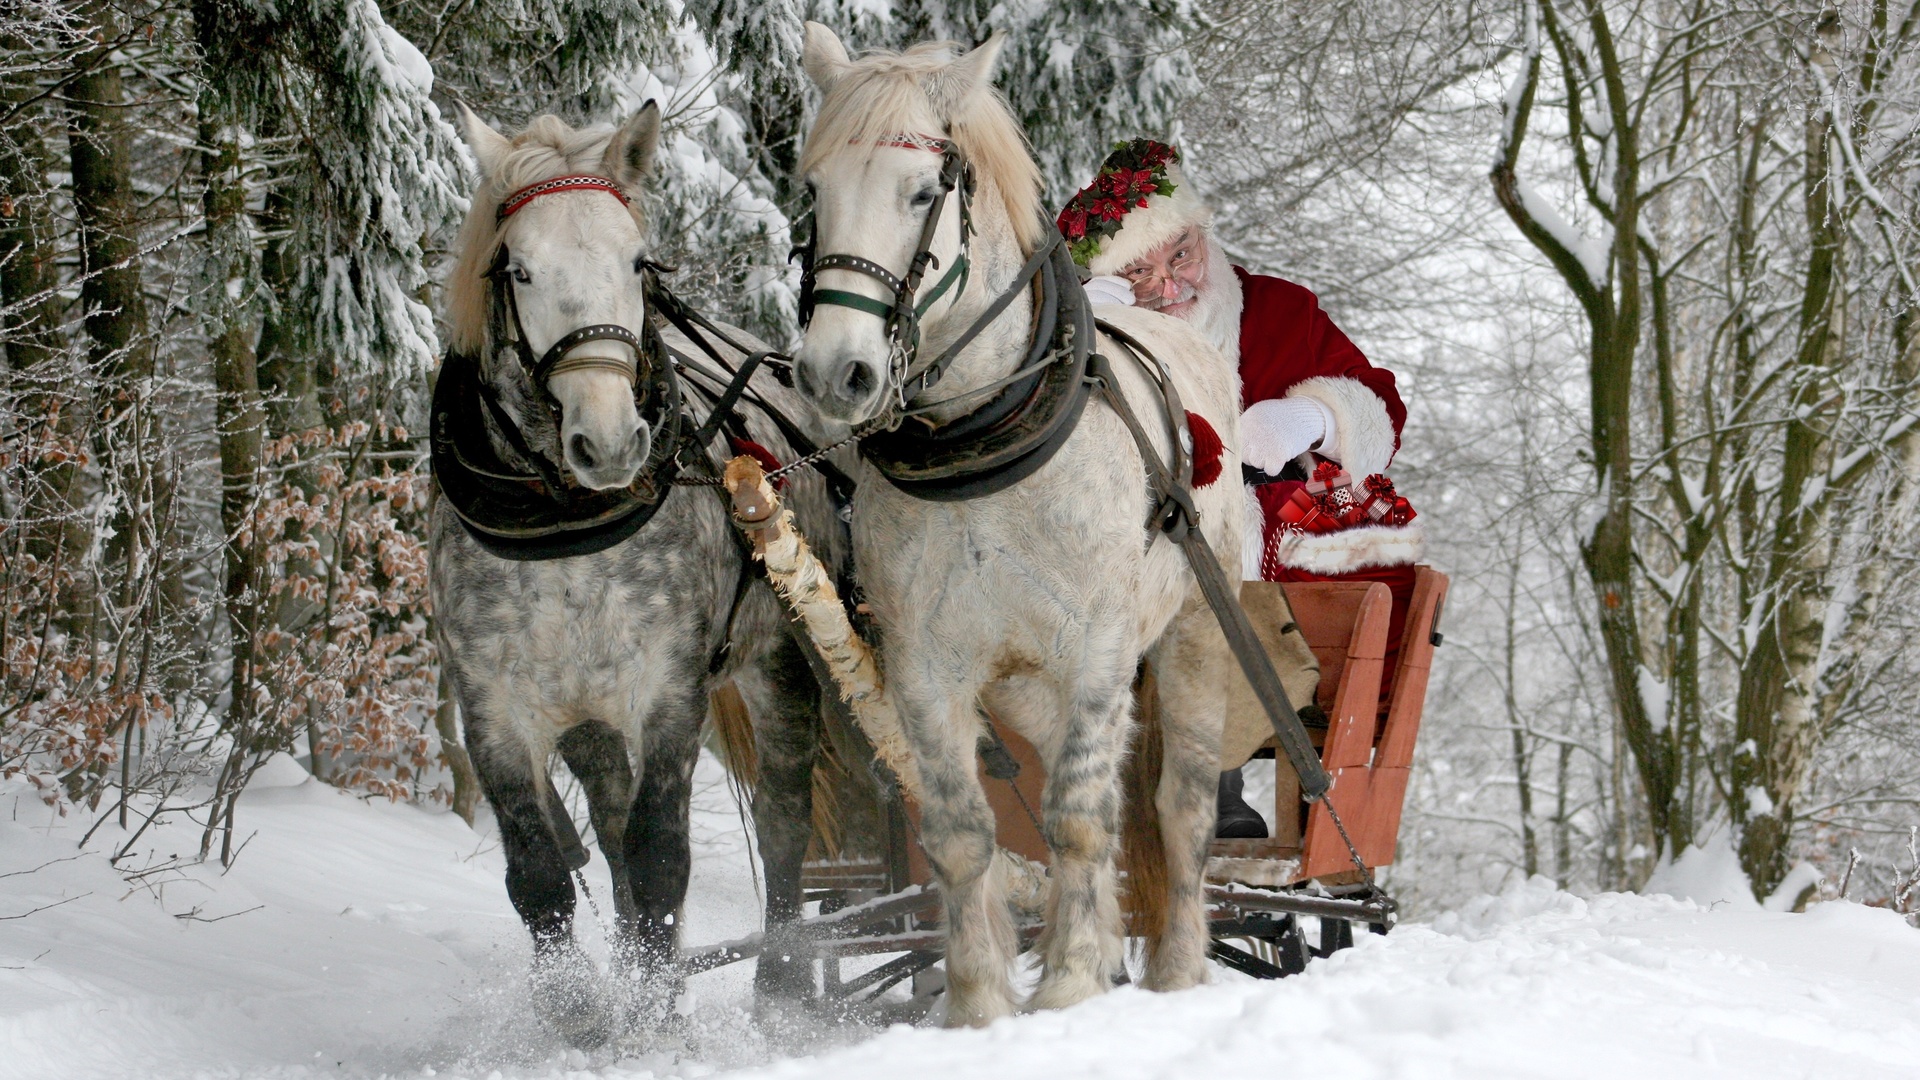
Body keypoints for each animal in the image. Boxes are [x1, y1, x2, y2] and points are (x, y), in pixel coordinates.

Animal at [791, 23, 1244, 1014]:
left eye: (923, 192)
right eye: (814, 189)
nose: (834, 373)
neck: (983, 450)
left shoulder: (1100, 651)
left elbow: (1077, 819)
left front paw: (1069, 985)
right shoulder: (926, 667)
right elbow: (964, 832)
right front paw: (980, 1003)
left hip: (1195, 637)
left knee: (1178, 807)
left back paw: (1179, 970)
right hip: (1028, 688)